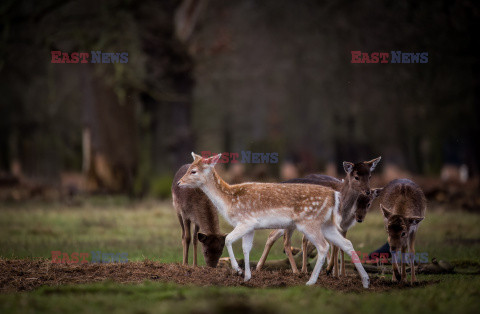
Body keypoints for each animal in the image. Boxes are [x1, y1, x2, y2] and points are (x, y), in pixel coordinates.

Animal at [178, 152, 370, 288]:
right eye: (189, 168)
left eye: (193, 171)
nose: (179, 183)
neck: (229, 201)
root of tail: (334, 196)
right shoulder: (250, 226)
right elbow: (246, 248)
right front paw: (247, 277)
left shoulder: (246, 221)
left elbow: (228, 240)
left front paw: (238, 270)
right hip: (327, 224)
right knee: (347, 243)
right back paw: (366, 281)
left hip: (310, 222)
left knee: (323, 246)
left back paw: (310, 281)